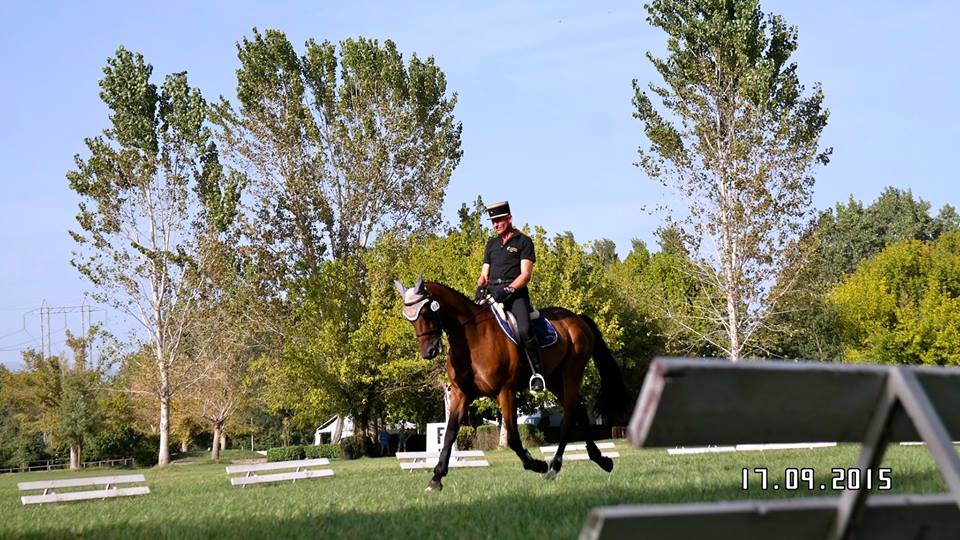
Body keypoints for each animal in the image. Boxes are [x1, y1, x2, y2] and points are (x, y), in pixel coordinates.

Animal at [392, 276, 632, 492]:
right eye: (409, 319)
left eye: (426, 312)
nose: (429, 351)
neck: (473, 338)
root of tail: (576, 318)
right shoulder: (461, 394)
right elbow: (450, 434)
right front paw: (436, 479)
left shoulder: (505, 391)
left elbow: (513, 438)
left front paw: (536, 464)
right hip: (554, 378)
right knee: (579, 410)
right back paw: (600, 459)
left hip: (572, 371)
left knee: (570, 416)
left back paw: (554, 467)